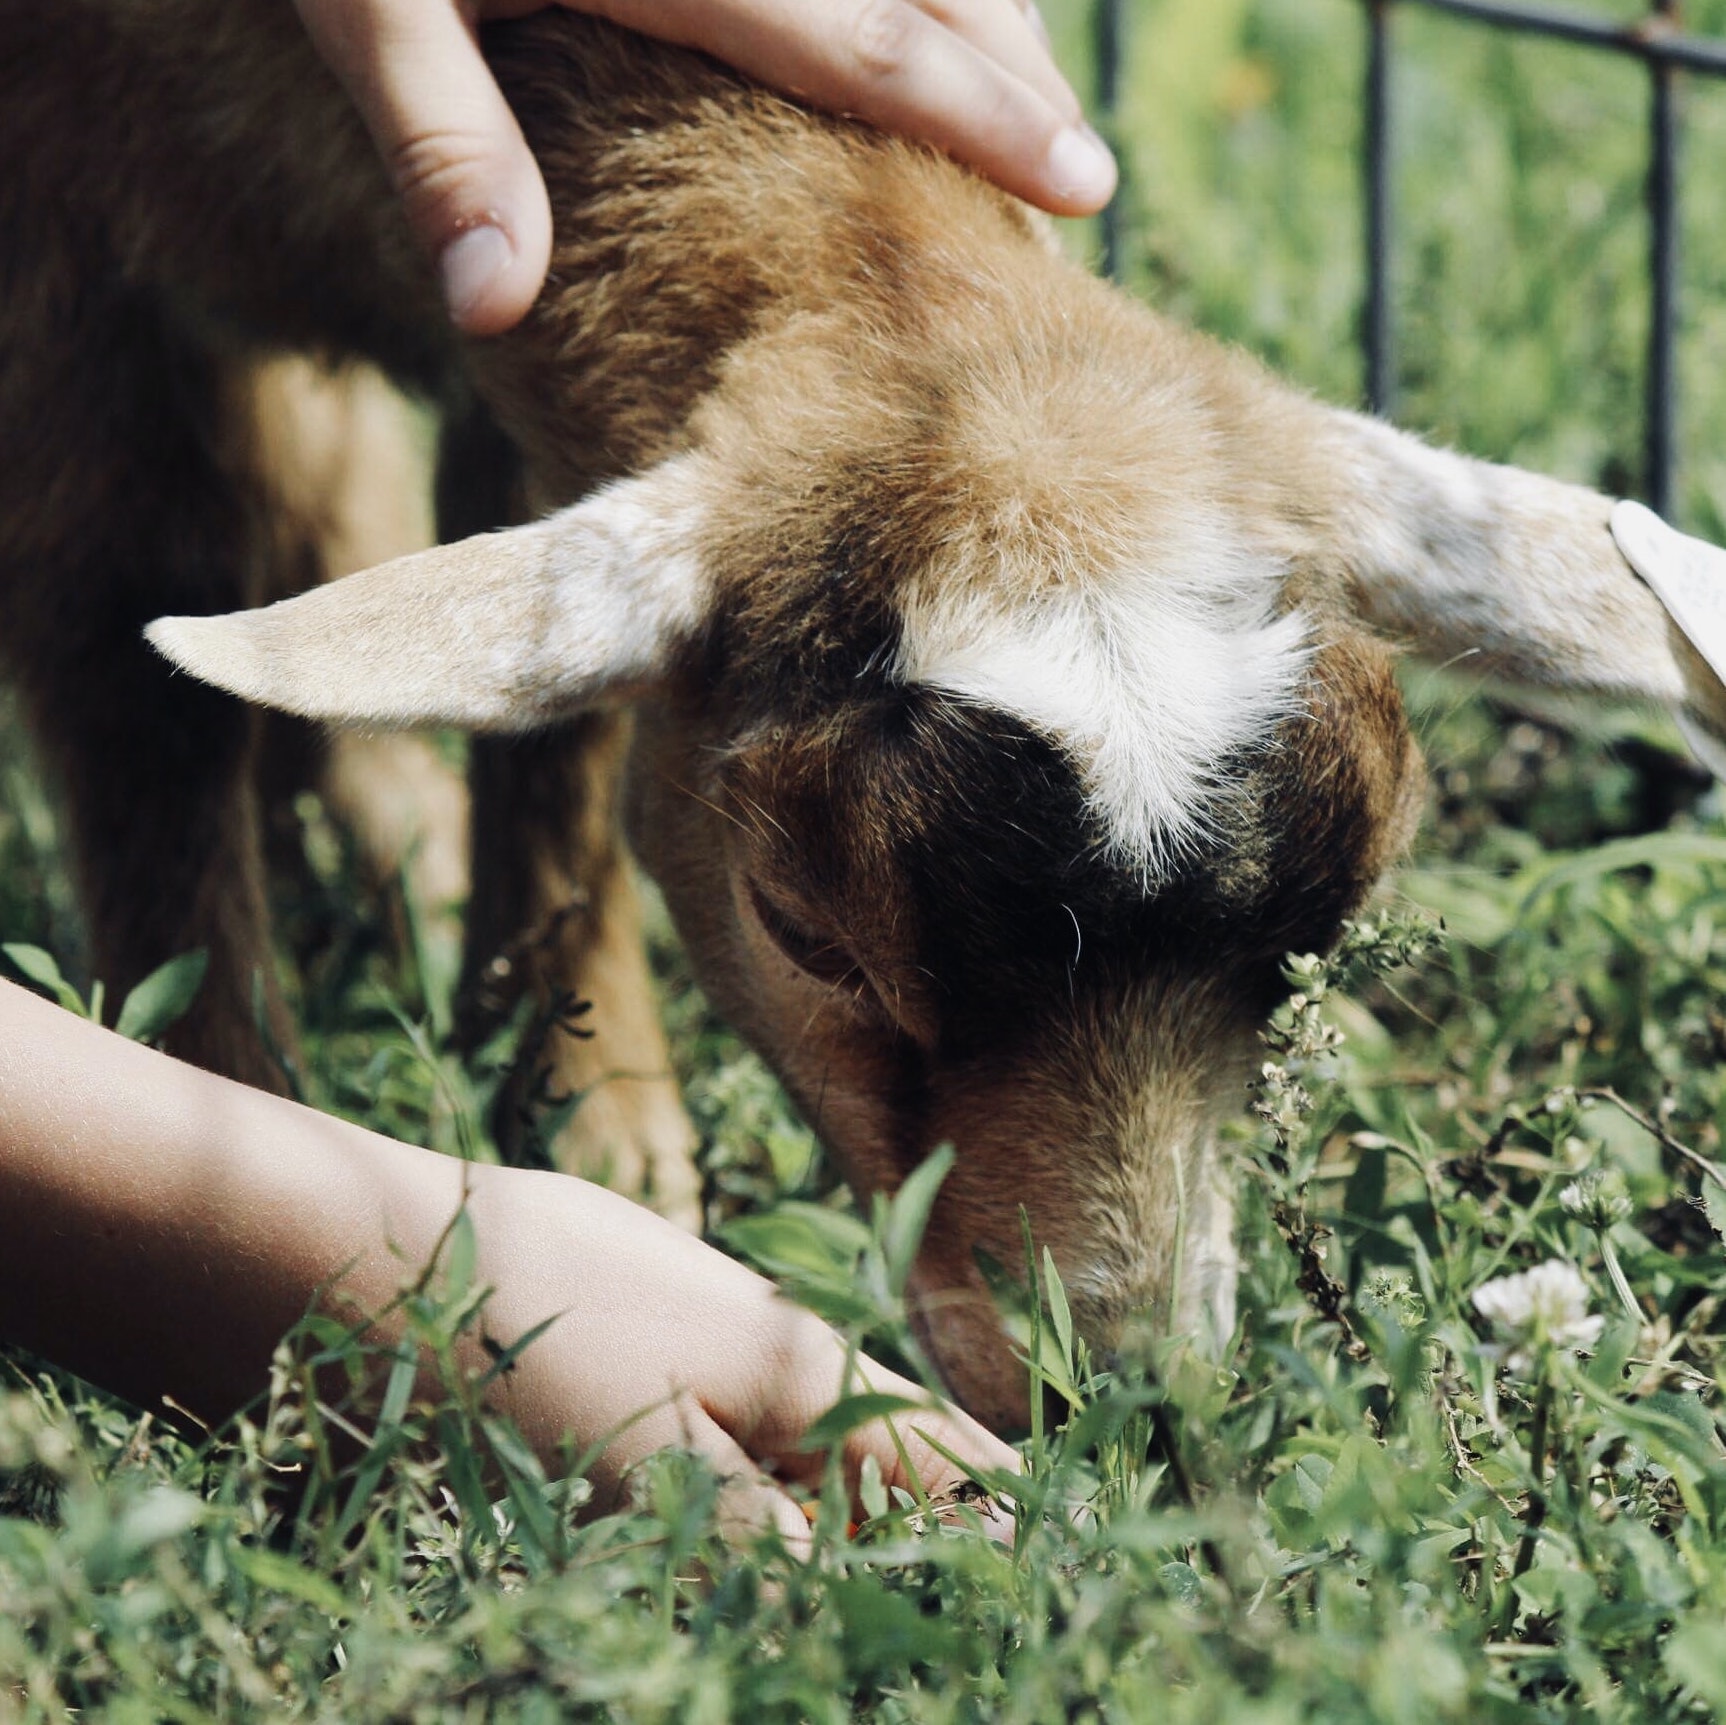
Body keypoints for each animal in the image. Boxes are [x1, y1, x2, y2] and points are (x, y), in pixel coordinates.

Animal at [3, 3, 1726, 1429]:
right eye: (802, 931)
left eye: (1316, 945)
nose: (1124, 1399)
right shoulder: (68, 248)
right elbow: (127, 662)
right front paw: (234, 1094)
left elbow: (557, 733)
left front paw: (585, 1102)